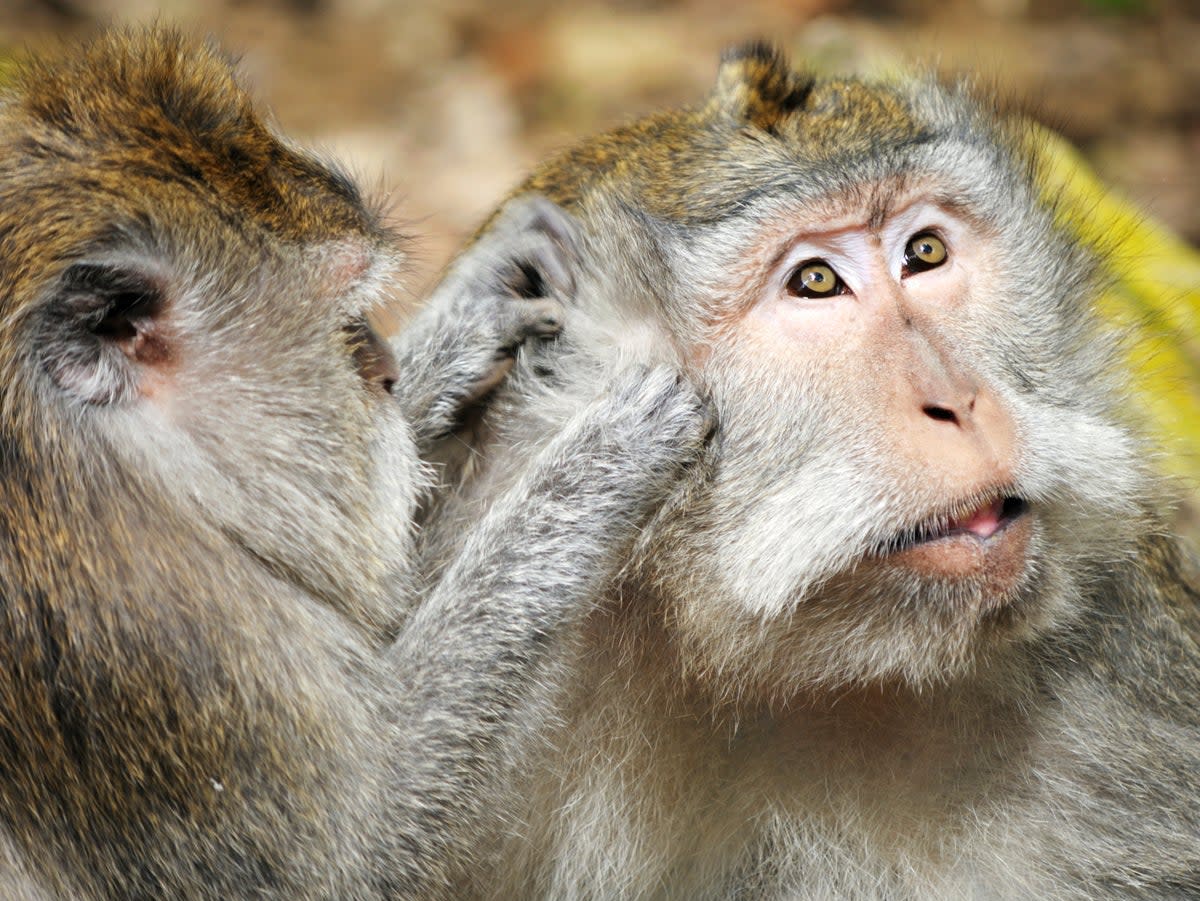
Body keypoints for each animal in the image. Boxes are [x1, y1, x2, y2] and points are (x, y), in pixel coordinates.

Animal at [0, 28, 710, 901]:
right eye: (341, 321)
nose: (384, 369)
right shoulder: (161, 644)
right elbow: (354, 862)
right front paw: (591, 465)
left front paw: (475, 306)